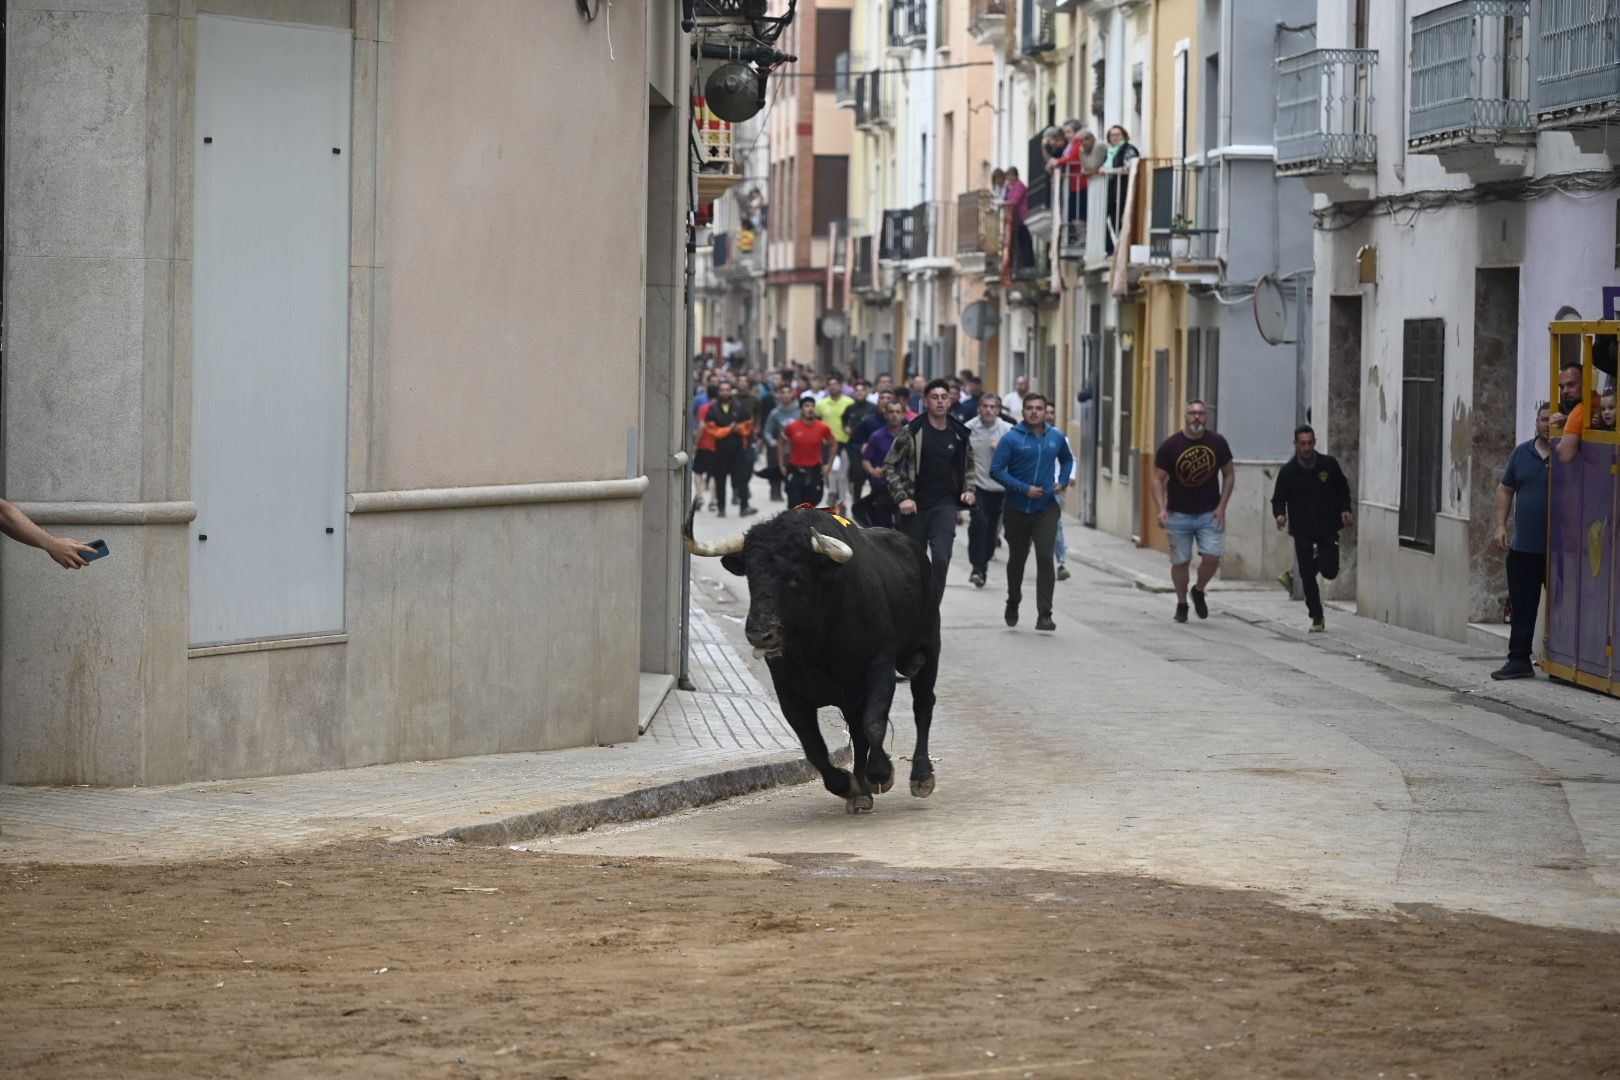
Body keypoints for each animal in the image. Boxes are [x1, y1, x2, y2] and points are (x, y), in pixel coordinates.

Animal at [680, 498, 939, 809]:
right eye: (751, 576)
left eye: (795, 577)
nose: (760, 633)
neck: (816, 644)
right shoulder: (789, 691)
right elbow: (813, 745)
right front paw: (847, 784)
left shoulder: (879, 666)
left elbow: (874, 722)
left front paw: (881, 773)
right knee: (857, 730)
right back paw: (862, 793)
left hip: (928, 650)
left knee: (922, 705)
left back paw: (921, 777)